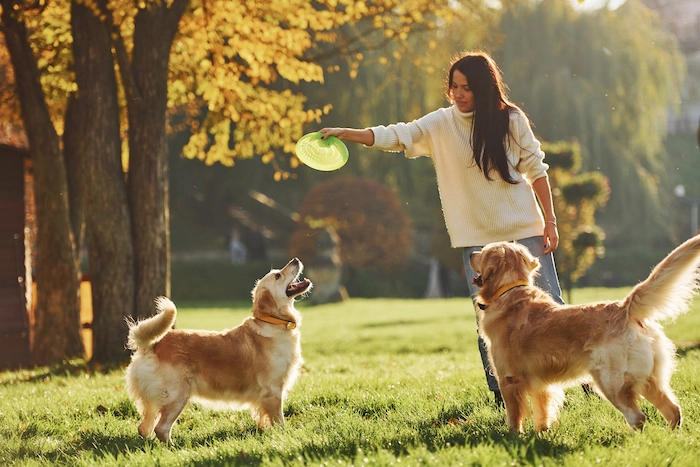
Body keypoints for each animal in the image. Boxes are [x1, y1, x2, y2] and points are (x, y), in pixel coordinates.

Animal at [125, 258, 312, 444]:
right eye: (278, 275)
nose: (295, 260)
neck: (273, 322)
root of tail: (152, 345)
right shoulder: (273, 391)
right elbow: (280, 421)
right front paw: (284, 437)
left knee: (144, 428)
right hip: (177, 396)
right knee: (161, 428)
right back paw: (174, 446)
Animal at [468, 236, 700, 434]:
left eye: (483, 252)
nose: (470, 254)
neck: (509, 292)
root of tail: (624, 307)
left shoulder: (508, 379)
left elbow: (513, 415)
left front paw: (514, 436)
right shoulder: (541, 385)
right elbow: (542, 413)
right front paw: (541, 432)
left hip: (611, 383)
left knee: (638, 417)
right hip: (649, 380)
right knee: (673, 410)